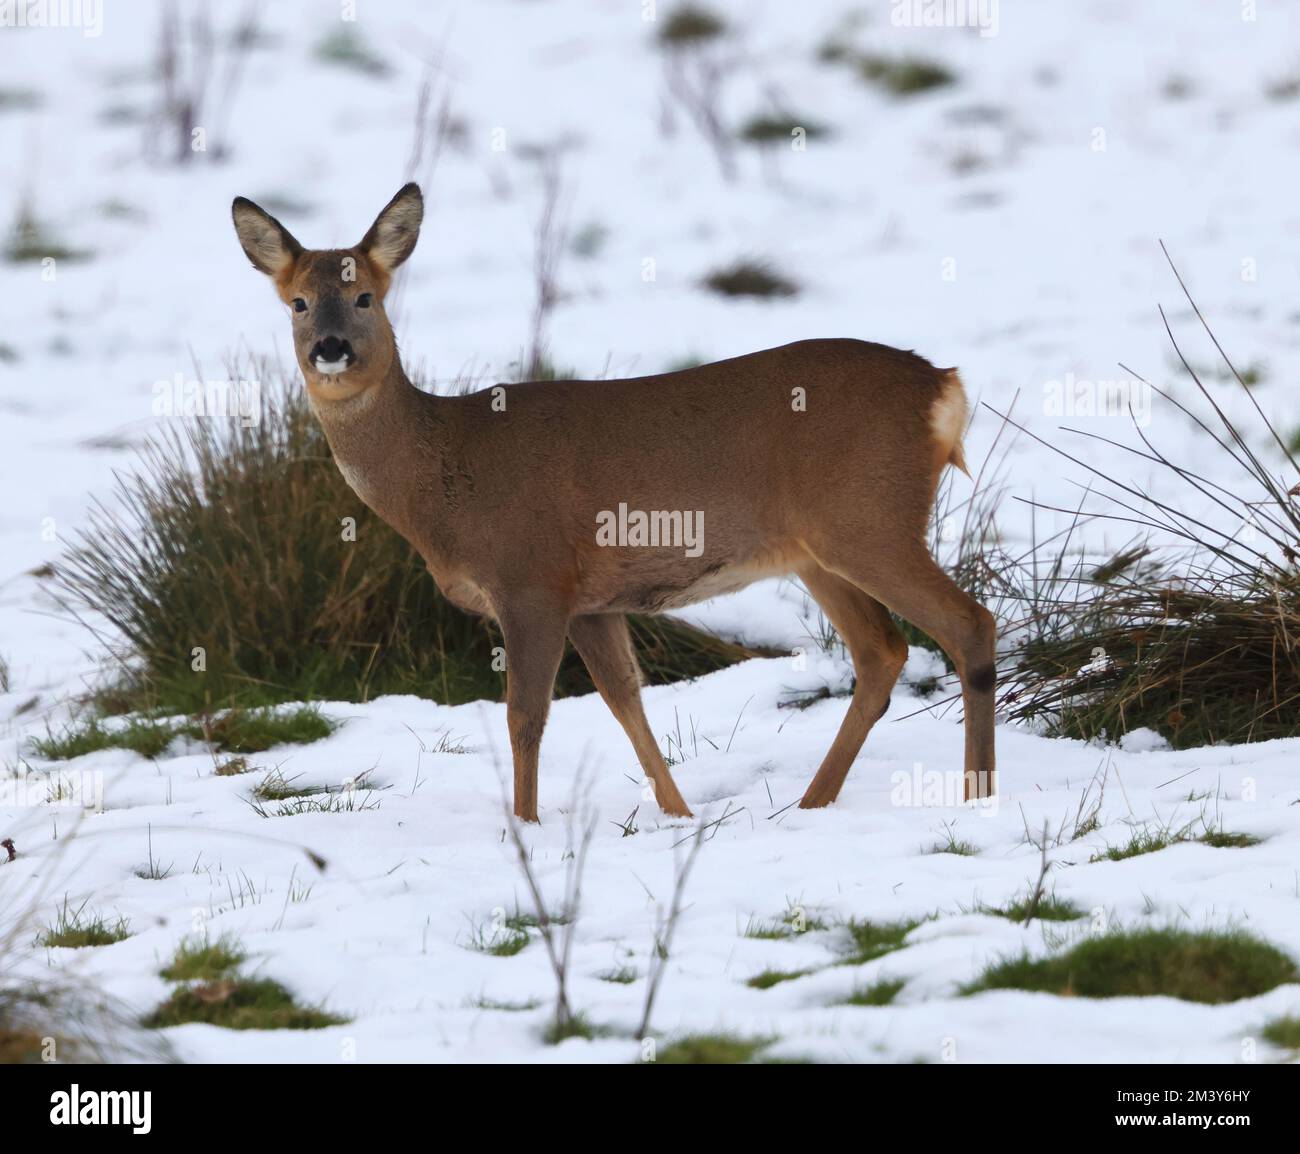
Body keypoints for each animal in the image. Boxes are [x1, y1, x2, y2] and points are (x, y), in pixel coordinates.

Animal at [232, 182, 996, 823]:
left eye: (366, 297)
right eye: (298, 302)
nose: (331, 348)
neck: (442, 476)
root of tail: (942, 388)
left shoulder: (531, 578)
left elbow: (526, 718)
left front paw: (526, 826)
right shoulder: (592, 600)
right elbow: (626, 701)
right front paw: (680, 815)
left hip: (869, 519)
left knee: (968, 623)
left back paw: (975, 797)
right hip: (819, 552)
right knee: (883, 652)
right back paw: (812, 803)